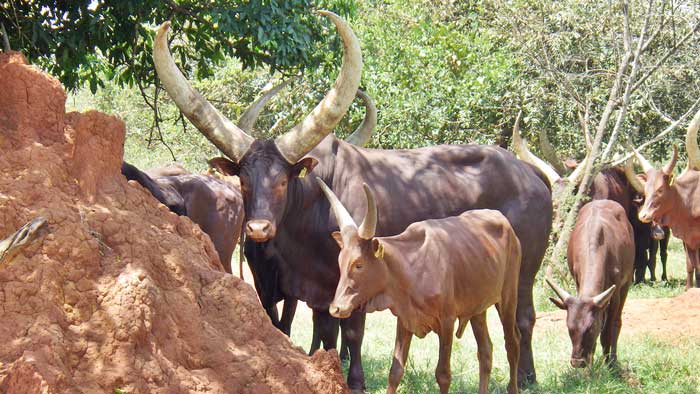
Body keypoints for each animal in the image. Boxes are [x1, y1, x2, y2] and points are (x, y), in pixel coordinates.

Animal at [153, 11, 552, 388]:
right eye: (243, 179)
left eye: (283, 179)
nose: (259, 228)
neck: (312, 210)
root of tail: (530, 175)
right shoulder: (310, 292)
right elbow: (326, 332)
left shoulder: (356, 277)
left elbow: (354, 332)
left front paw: (355, 381)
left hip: (524, 271)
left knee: (523, 318)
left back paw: (528, 376)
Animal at [548, 202, 636, 368]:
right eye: (569, 327)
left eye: (590, 328)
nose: (577, 362)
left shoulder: (614, 294)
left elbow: (607, 330)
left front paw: (609, 363)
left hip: (626, 285)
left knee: (616, 322)